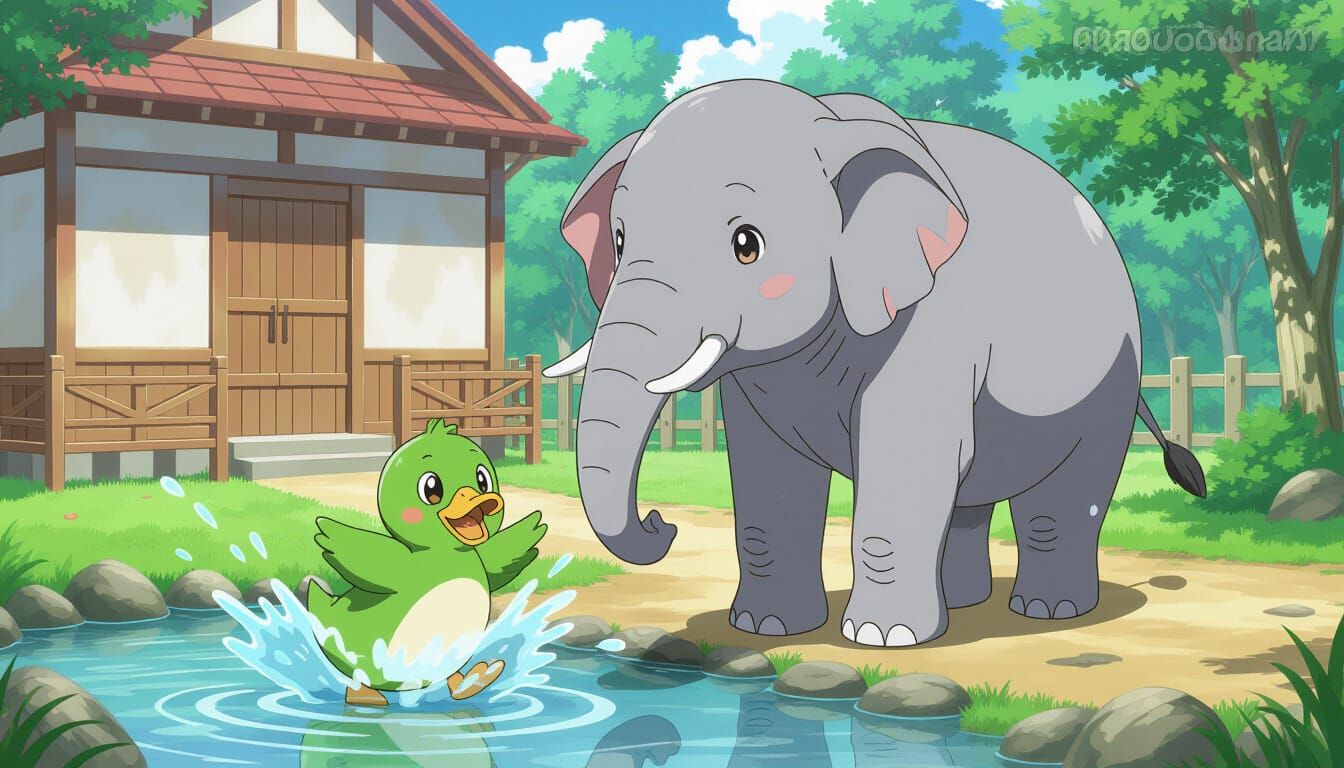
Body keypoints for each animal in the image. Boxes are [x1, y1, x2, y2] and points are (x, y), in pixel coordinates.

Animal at [543, 79, 1206, 647]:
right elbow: (769, 476)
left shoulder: (932, 327)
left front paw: (883, 638)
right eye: (620, 242)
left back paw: (1048, 610)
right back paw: (962, 604)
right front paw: (767, 628)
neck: (826, 120)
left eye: (747, 244)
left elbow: (905, 459)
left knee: (1065, 495)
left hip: (1112, 376)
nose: (661, 524)